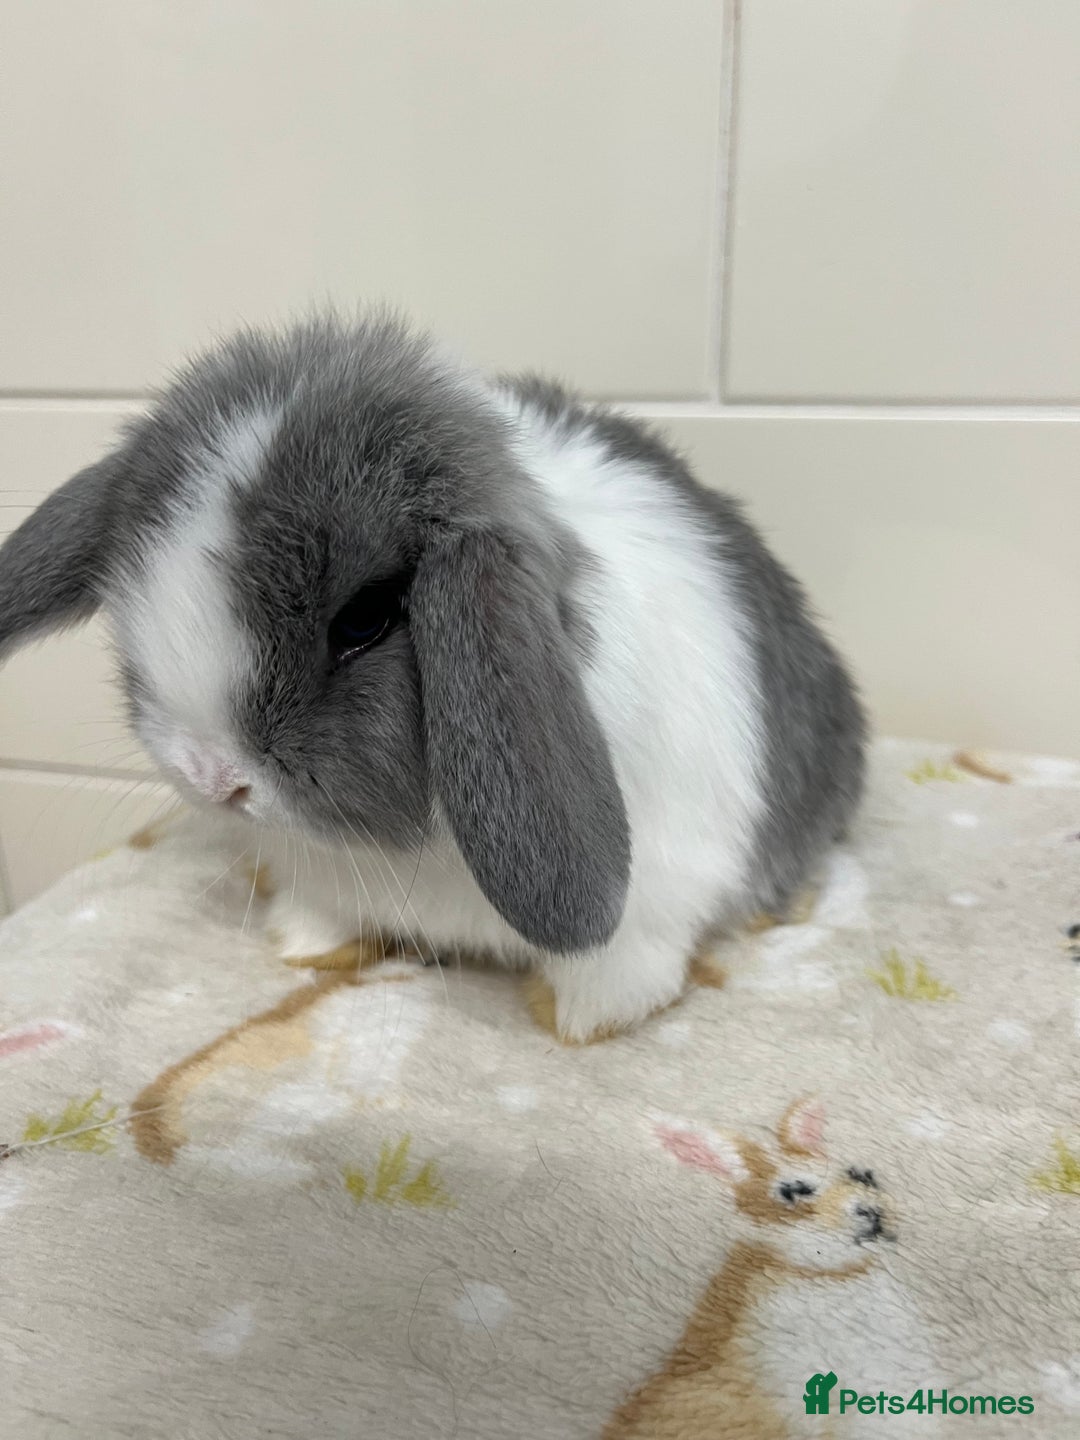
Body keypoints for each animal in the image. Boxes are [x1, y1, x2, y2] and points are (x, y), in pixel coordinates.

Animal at [0, 312, 865, 1041]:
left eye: (365, 621)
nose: (213, 779)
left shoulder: (656, 891)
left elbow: (617, 971)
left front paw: (577, 1022)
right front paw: (305, 949)